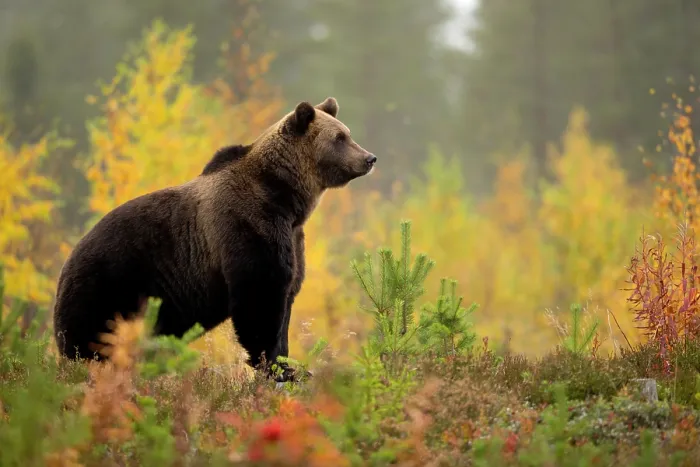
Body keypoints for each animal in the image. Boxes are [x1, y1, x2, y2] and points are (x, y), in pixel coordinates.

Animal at [52, 97, 376, 381]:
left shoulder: (293, 238)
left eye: (346, 133)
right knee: (88, 332)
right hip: (110, 280)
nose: (369, 157)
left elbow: (286, 296)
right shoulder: (247, 227)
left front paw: (290, 365)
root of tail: (68, 259)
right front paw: (275, 367)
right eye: (339, 137)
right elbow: (260, 296)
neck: (285, 197)